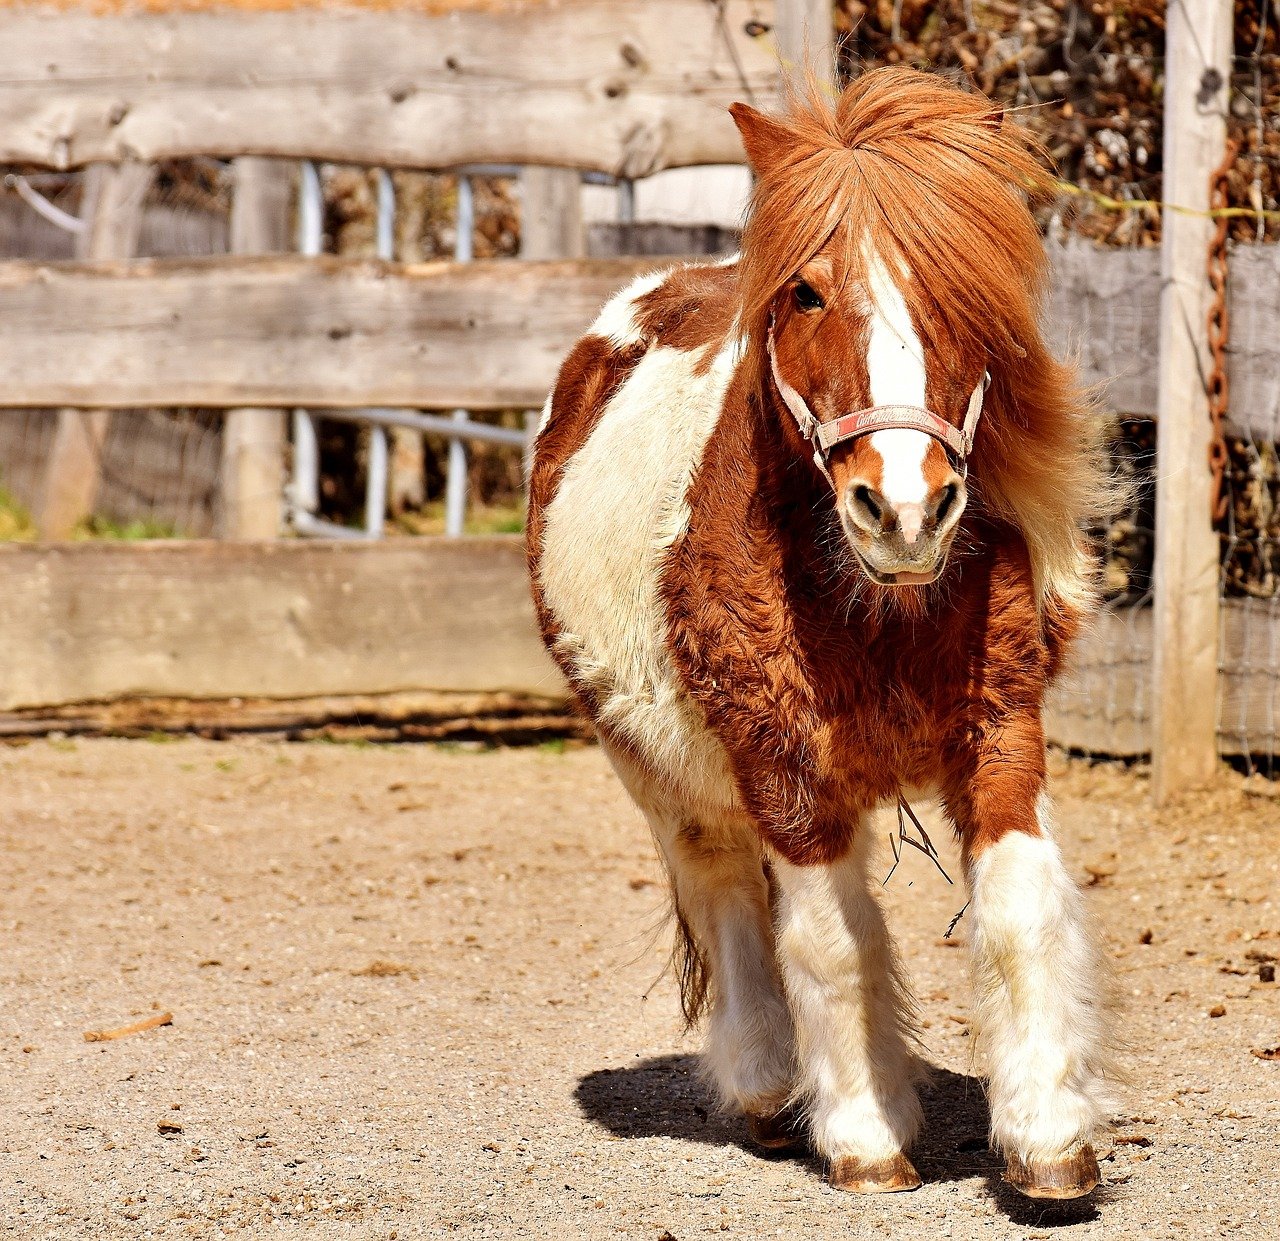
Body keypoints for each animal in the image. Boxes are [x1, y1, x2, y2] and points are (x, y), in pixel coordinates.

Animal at [524, 70, 1116, 1197]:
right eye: (805, 292)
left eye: (963, 291)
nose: (903, 507)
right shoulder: (783, 769)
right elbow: (832, 943)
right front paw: (865, 1134)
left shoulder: (1000, 734)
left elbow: (1017, 908)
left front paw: (1047, 1138)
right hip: (655, 768)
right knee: (725, 894)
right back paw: (767, 1088)